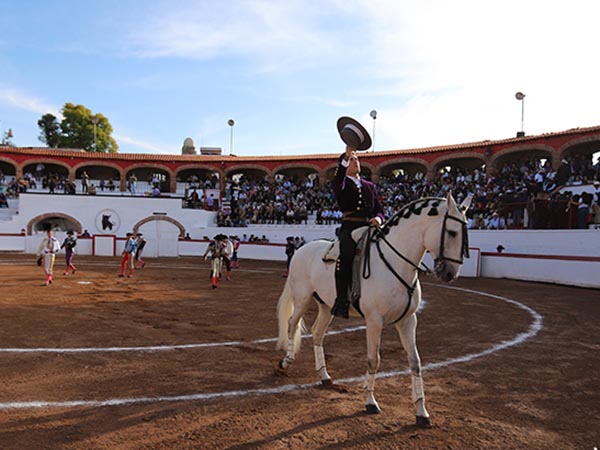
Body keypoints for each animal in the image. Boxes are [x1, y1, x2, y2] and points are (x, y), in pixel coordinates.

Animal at [276, 192, 468, 426]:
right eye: (452, 232)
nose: (450, 273)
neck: (395, 262)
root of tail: (302, 249)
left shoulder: (408, 320)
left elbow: (415, 363)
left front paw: (422, 413)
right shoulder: (374, 320)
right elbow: (373, 360)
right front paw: (370, 402)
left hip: (326, 306)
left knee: (317, 333)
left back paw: (324, 376)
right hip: (302, 298)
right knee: (292, 323)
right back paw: (285, 361)